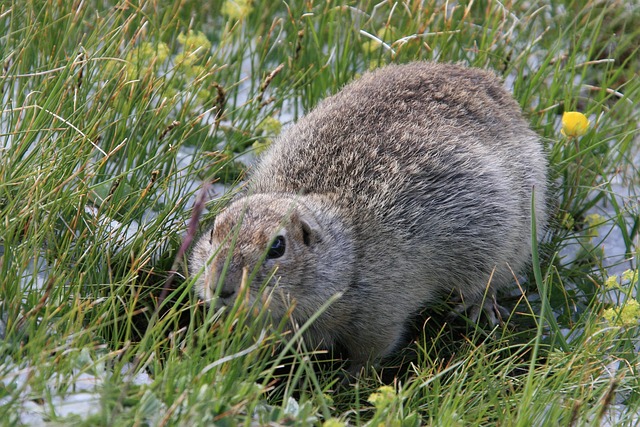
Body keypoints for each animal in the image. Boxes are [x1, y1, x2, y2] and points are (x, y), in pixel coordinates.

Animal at [188, 61, 548, 372]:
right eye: (213, 234)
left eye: (277, 247)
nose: (220, 288)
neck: (347, 254)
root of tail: (492, 85)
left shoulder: (379, 314)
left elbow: (371, 352)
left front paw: (352, 379)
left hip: (508, 235)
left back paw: (478, 308)